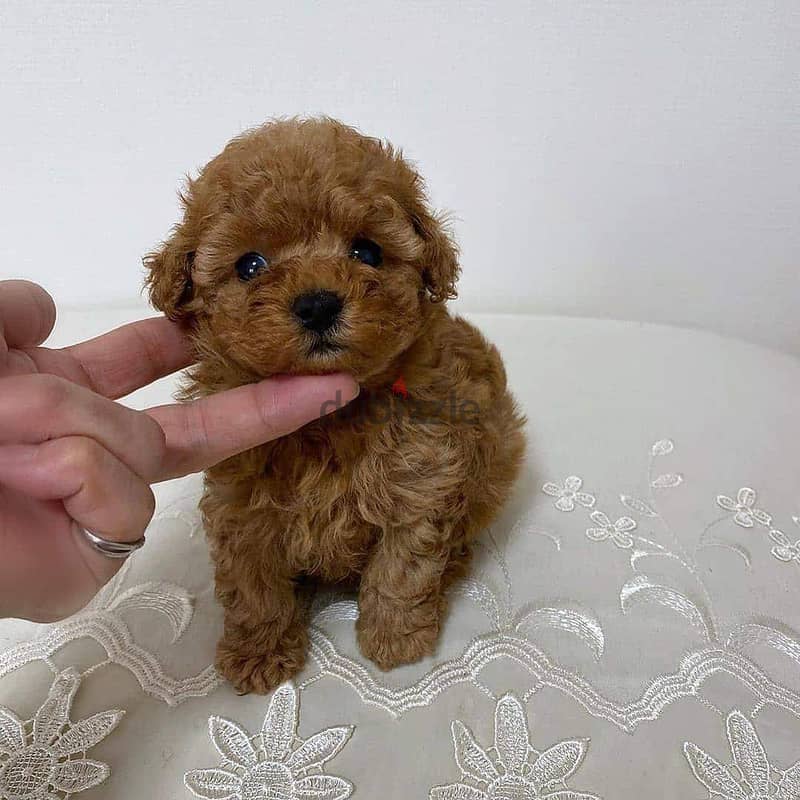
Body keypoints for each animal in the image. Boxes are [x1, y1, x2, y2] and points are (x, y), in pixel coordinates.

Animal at [147, 117, 528, 692]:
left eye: (367, 252)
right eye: (250, 265)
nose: (318, 304)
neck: (328, 421)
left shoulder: (422, 478)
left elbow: (403, 568)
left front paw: (393, 638)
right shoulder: (242, 504)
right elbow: (252, 584)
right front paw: (260, 653)